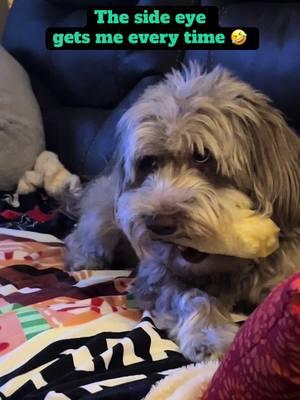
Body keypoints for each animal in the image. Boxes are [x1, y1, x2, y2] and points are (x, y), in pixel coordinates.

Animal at [65, 64, 300, 360]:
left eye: (202, 156)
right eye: (149, 163)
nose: (158, 223)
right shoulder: (158, 277)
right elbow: (194, 297)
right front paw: (209, 334)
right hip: (105, 217)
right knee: (79, 237)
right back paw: (84, 260)